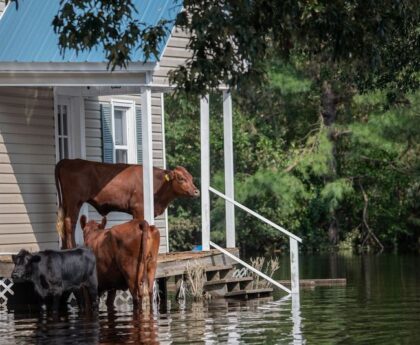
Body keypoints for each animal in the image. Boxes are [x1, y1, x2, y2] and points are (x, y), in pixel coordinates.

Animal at [55, 157, 200, 249]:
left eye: (191, 177)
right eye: (181, 178)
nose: (196, 191)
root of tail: (68, 160)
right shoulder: (139, 209)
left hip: (67, 201)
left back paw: (64, 247)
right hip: (74, 200)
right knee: (69, 222)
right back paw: (71, 247)